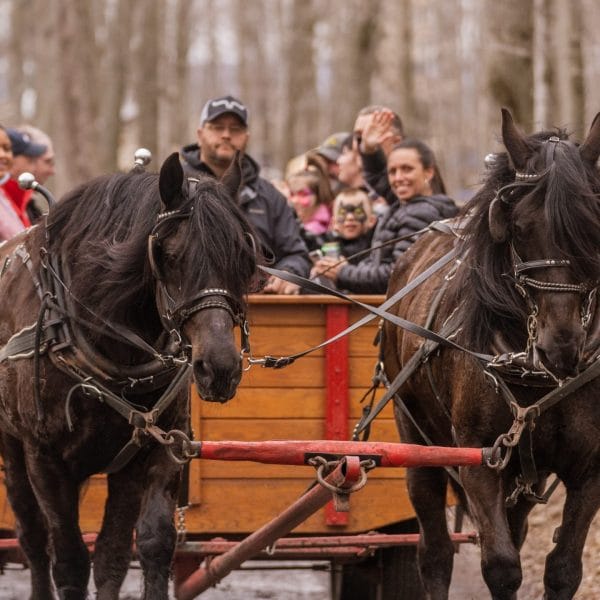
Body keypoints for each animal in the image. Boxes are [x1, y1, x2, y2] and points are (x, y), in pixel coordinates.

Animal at [0, 156, 260, 600]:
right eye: (170, 255)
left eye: (243, 256)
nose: (220, 368)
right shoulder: (44, 457)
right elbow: (69, 559)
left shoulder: (158, 447)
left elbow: (136, 549)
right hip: (12, 447)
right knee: (32, 537)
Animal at [382, 109, 596, 600]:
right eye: (518, 227)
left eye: (593, 226)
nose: (561, 346)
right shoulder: (478, 458)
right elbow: (501, 566)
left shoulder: (590, 467)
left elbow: (563, 570)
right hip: (416, 442)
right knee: (435, 552)